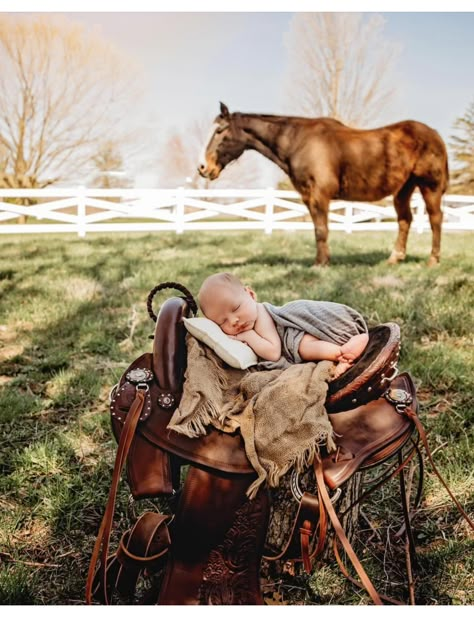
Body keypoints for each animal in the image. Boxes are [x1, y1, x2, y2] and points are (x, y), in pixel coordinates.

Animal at [196, 103, 448, 268]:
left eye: (219, 131)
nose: (203, 168)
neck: (297, 140)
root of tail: (435, 135)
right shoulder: (308, 196)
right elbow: (318, 229)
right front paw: (322, 260)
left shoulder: (319, 195)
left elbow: (321, 230)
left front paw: (321, 264)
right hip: (404, 188)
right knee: (405, 220)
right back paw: (395, 258)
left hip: (430, 187)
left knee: (435, 219)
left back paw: (433, 260)